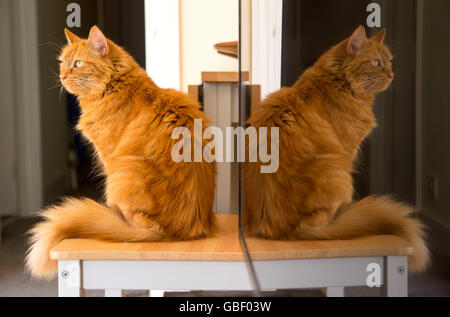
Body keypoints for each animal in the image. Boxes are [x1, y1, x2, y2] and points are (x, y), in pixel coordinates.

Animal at [25, 27, 216, 278]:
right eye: (62, 63)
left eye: (78, 64)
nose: (63, 76)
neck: (114, 86)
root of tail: (180, 231)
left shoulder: (108, 156)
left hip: (121, 172)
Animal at [243, 25, 428, 270]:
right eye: (376, 62)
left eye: (389, 62)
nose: (392, 75)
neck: (339, 83)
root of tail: (280, 231)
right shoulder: (349, 150)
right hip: (339, 174)